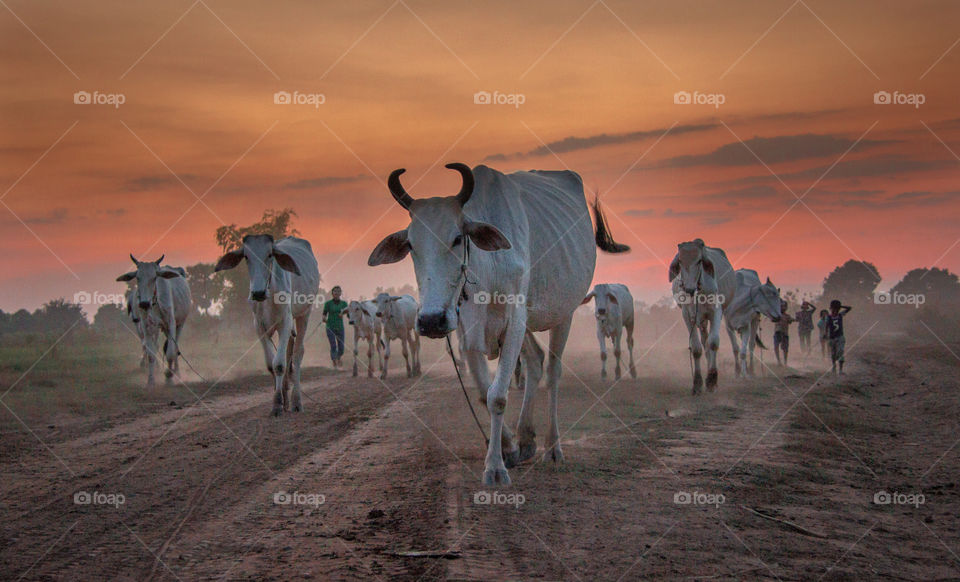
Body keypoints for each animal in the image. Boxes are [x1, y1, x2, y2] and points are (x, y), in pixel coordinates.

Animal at [115, 256, 190, 388]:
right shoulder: (146, 326)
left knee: (175, 347)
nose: (144, 303)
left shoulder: (171, 323)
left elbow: (170, 352)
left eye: (154, 277)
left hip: (180, 324)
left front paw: (169, 376)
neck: (155, 301)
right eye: (138, 277)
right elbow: (151, 353)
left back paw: (177, 373)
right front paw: (150, 381)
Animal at [214, 235, 318, 418]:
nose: (258, 292)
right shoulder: (259, 327)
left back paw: (296, 401)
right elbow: (271, 364)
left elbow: (279, 364)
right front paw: (279, 401)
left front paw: (277, 405)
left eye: (270, 255)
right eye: (246, 256)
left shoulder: (285, 322)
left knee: (297, 354)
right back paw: (286, 397)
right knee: (289, 352)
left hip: (304, 314)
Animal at [368, 162, 632, 486]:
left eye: (458, 238)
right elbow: (484, 392)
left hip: (564, 314)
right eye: (411, 244)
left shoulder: (514, 321)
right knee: (535, 361)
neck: (487, 271)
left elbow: (498, 396)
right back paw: (527, 439)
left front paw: (495, 467)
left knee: (553, 371)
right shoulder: (466, 329)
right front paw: (508, 447)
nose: (431, 320)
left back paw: (553, 448)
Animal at [672, 238, 740, 396]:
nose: (689, 289)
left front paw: (712, 380)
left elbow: (713, 343)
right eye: (680, 261)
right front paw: (697, 383)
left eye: (699, 261)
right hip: (700, 320)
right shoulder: (687, 315)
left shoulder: (716, 312)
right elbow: (697, 348)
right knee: (704, 341)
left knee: (709, 342)